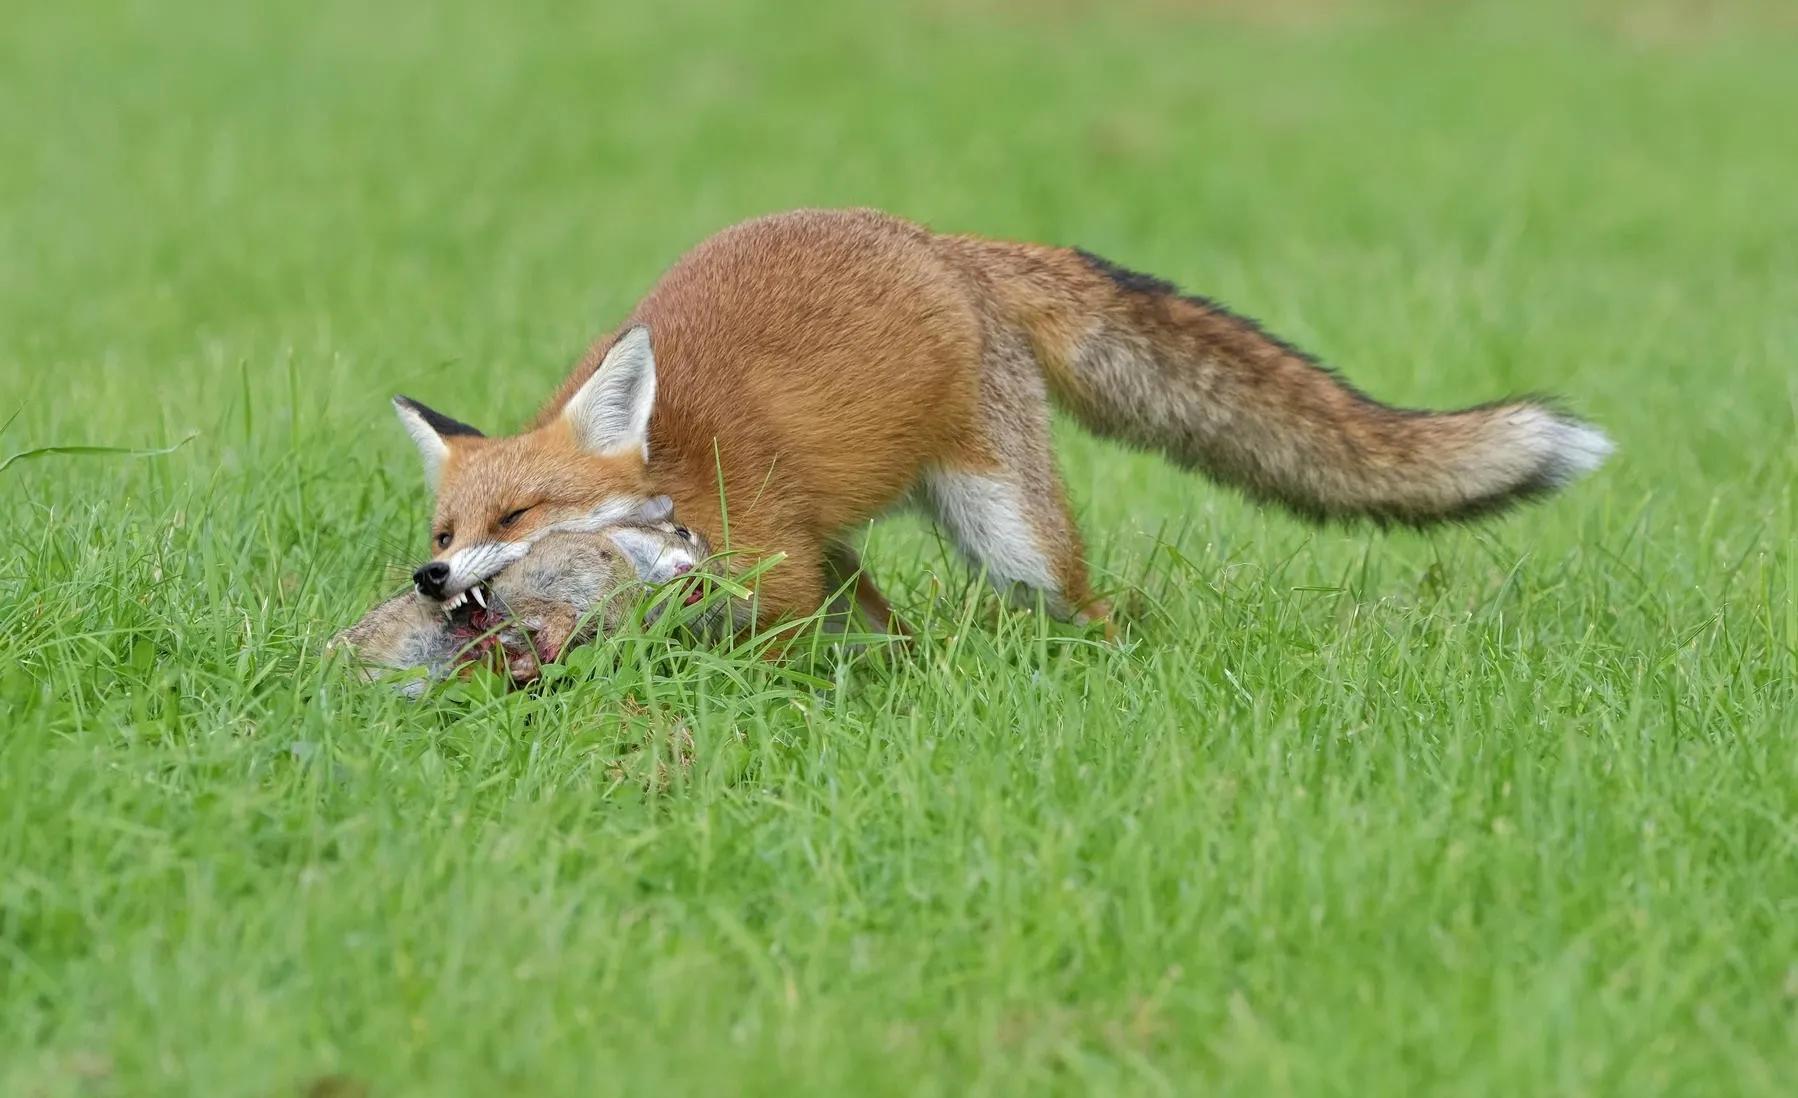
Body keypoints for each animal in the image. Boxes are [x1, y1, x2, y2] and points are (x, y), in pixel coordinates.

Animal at [393, 207, 1618, 636]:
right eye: (445, 530)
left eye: (518, 514)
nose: (430, 580)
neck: (684, 488)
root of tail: (943, 242)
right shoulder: (796, 561)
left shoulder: (778, 574)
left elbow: (770, 660)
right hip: (869, 542)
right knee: (892, 622)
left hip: (1013, 534)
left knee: (1097, 610)